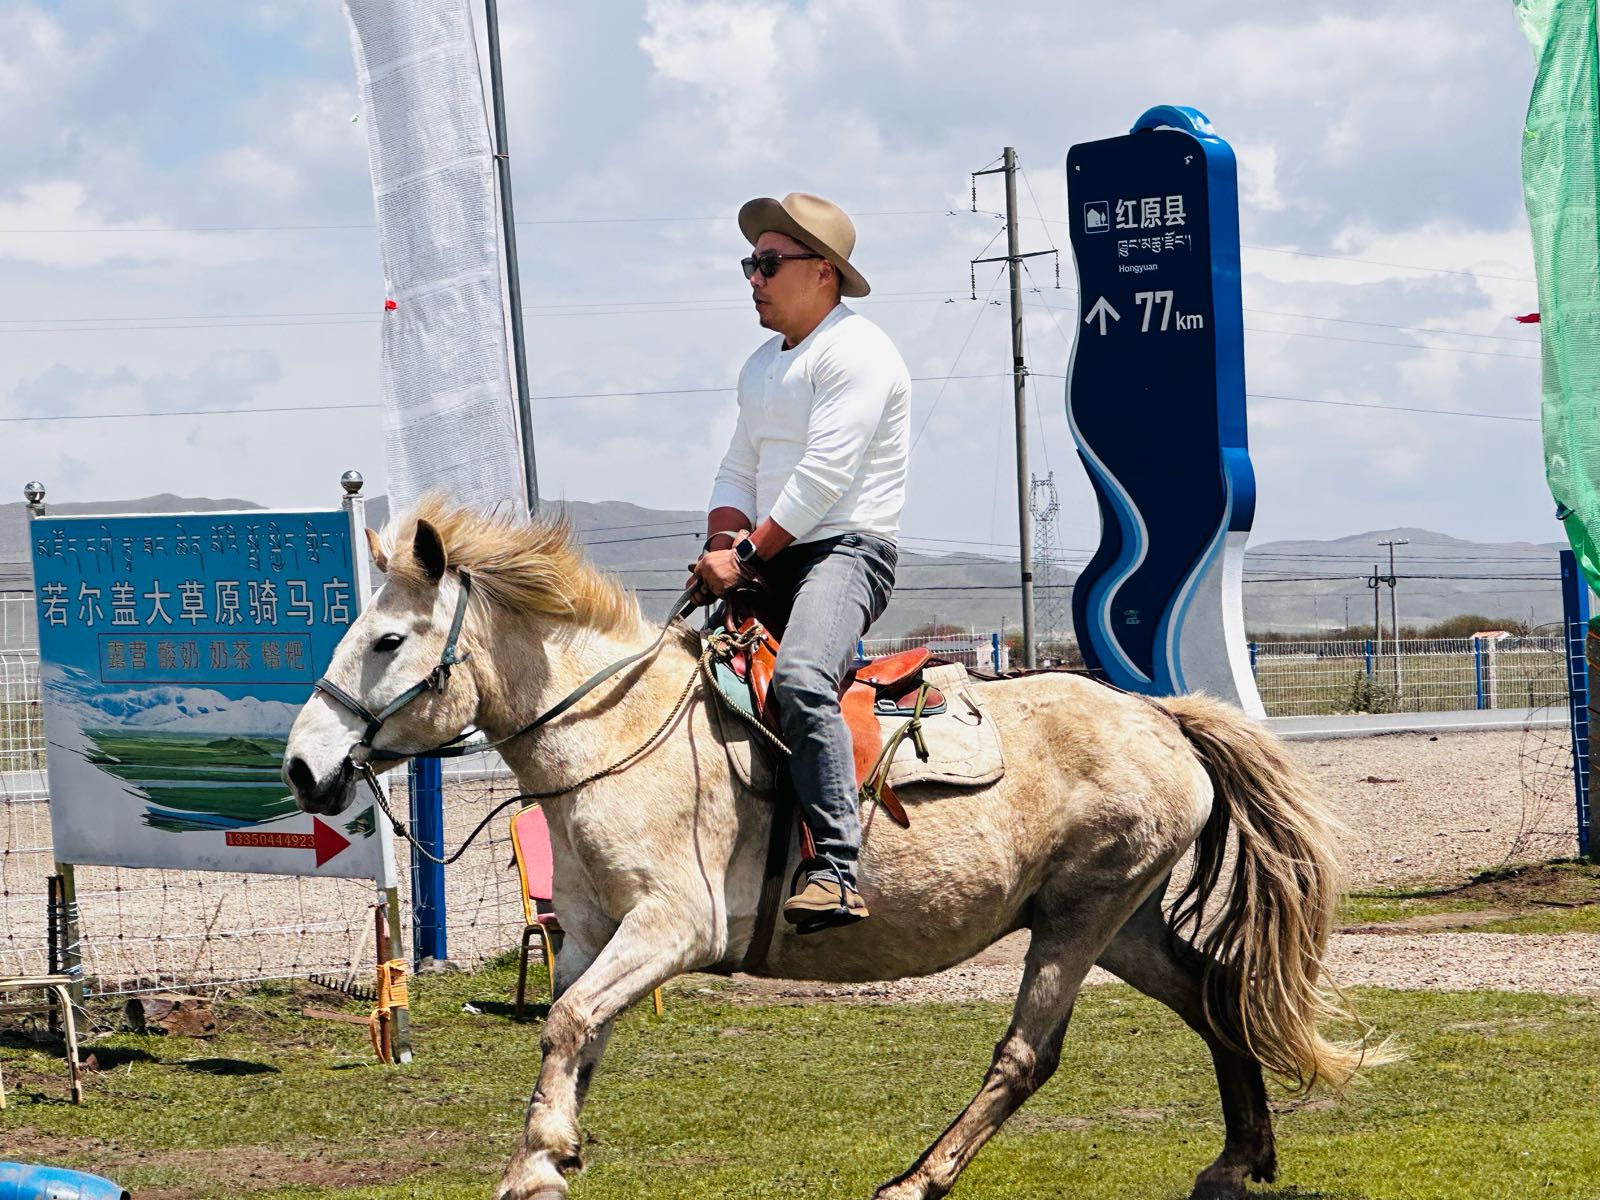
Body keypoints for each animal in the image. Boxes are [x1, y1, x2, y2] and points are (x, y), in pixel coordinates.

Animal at [282, 498, 1380, 1200]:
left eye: (387, 641)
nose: (301, 767)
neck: (618, 732)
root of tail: (1158, 715)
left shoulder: (672, 929)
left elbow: (568, 1025)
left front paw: (543, 1154)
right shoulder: (592, 935)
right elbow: (575, 1031)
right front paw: (543, 1159)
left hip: (1081, 917)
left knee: (1026, 1054)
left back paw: (916, 1180)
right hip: (1122, 921)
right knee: (1213, 994)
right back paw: (1237, 1161)